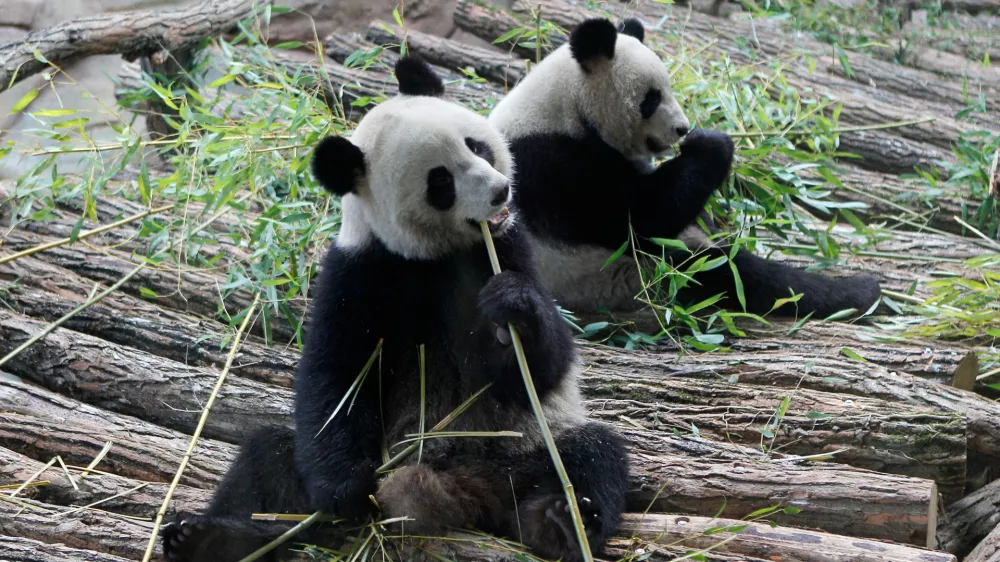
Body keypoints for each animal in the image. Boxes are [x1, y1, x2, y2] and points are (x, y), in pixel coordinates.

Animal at [160, 56, 629, 562]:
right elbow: (335, 377)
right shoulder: (359, 272)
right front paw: (345, 491)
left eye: (476, 145)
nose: (500, 191)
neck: (433, 255)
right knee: (268, 457)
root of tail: (465, 490)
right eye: (440, 181)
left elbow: (540, 370)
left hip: (524, 449)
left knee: (592, 455)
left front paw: (512, 309)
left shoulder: (507, 247)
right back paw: (209, 537)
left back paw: (560, 523)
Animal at [488, 17, 883, 320]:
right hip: (625, 276)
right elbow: (638, 219)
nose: (682, 129)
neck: (566, 105)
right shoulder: (556, 165)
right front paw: (712, 144)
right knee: (725, 273)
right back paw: (857, 292)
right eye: (651, 99)